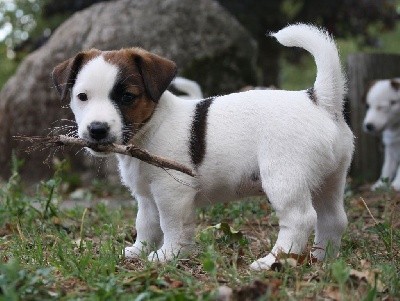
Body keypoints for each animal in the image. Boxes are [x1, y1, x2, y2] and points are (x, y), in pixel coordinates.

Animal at [52, 22, 354, 268]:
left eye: (127, 97)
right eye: (82, 96)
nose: (97, 130)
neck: (151, 128)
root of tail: (320, 100)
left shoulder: (171, 193)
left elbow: (171, 225)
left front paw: (168, 255)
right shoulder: (147, 198)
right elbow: (146, 224)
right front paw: (138, 251)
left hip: (284, 179)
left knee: (300, 218)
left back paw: (273, 261)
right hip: (330, 179)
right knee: (333, 219)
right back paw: (322, 260)